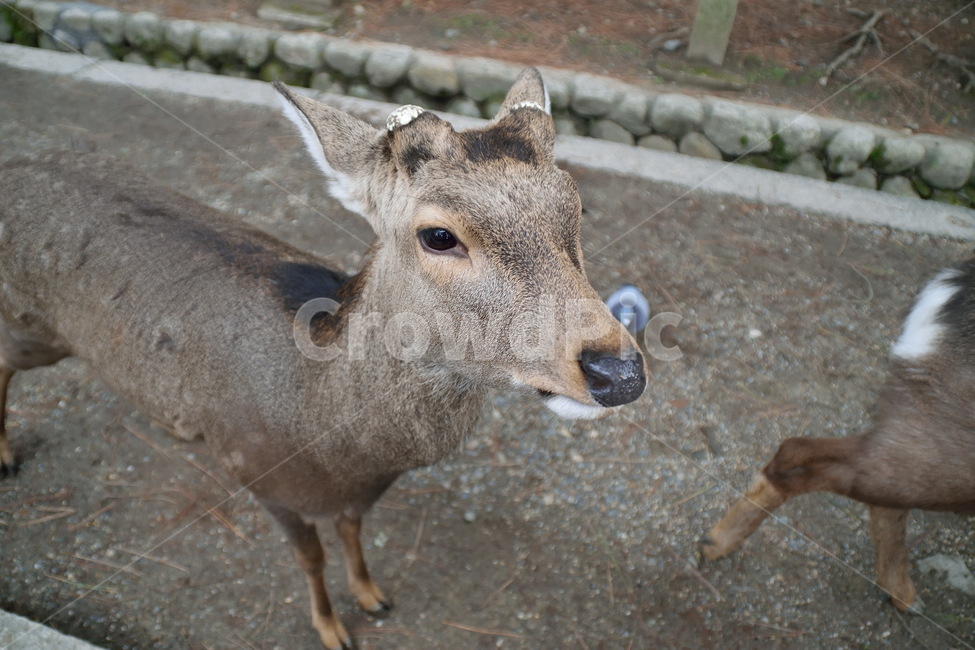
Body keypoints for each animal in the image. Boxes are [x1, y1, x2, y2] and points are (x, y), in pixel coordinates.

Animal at [0, 68, 647, 649]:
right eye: (438, 236)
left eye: (577, 210)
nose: (618, 371)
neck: (330, 439)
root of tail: (16, 165)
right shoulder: (260, 475)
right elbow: (310, 559)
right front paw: (332, 629)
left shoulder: (358, 494)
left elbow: (352, 530)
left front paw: (372, 595)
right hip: (29, 326)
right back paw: (8, 457)